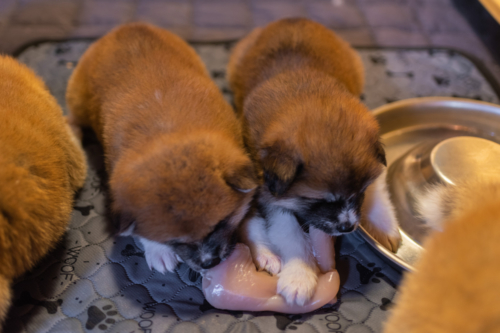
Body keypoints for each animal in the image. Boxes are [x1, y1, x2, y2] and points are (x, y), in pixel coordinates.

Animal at [67, 22, 258, 272]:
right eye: (174, 241)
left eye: (221, 223)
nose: (209, 263)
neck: (169, 135)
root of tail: (125, 26)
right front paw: (158, 252)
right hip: (78, 102)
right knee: (73, 120)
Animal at [229, 17, 400, 304]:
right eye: (320, 200)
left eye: (359, 193)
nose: (348, 227)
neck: (306, 93)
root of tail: (294, 18)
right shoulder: (272, 197)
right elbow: (291, 236)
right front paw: (300, 277)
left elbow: (378, 189)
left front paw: (384, 226)